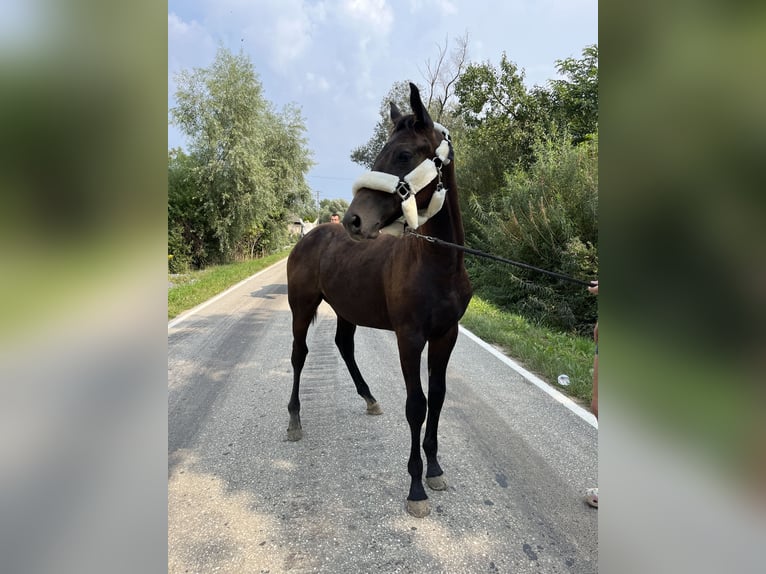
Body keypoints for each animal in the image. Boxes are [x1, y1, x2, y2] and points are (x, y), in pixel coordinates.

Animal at [286, 83, 472, 520]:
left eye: (403, 154)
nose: (354, 220)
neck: (437, 265)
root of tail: (309, 235)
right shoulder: (409, 338)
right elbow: (416, 405)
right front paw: (416, 488)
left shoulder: (446, 336)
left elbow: (438, 397)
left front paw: (435, 469)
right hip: (301, 307)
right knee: (299, 355)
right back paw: (294, 420)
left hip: (346, 308)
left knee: (343, 345)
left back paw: (369, 398)